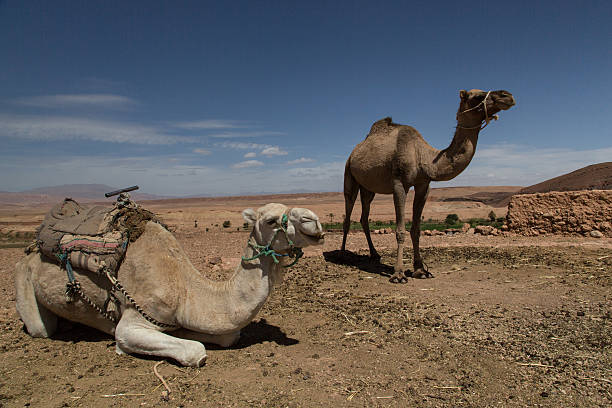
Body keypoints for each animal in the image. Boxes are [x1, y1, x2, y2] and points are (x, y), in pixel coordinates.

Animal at [15, 204, 326, 366]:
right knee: (41, 328)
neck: (185, 288)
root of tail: (30, 250)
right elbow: (194, 351)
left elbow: (226, 336)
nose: (314, 220)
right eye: (272, 220)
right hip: (24, 280)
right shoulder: (133, 320)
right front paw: (123, 348)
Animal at [342, 88, 512, 284]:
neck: (423, 157)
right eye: (476, 96)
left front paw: (420, 270)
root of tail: (354, 151)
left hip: (368, 187)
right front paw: (398, 274)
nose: (507, 96)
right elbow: (400, 230)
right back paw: (342, 254)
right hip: (349, 174)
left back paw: (375, 254)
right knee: (348, 213)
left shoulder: (423, 185)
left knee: (364, 216)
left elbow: (416, 229)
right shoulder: (399, 184)